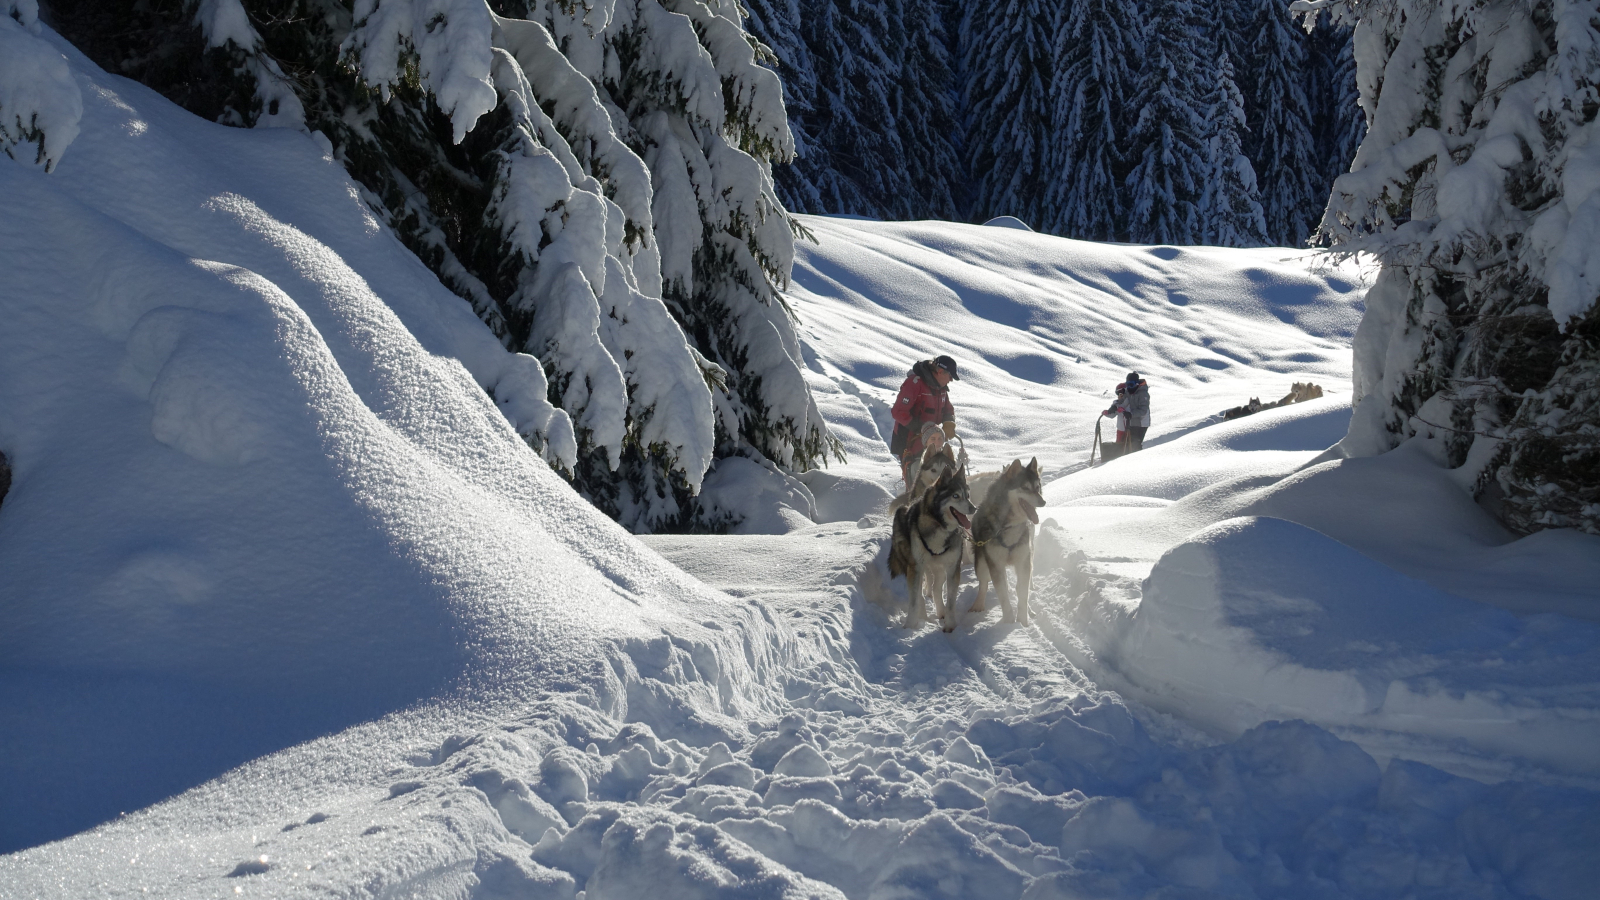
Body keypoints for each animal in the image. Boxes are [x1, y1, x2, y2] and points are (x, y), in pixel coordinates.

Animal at [889, 461, 972, 630]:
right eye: (955, 496)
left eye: (967, 495)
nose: (974, 508)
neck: (939, 525)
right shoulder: (916, 567)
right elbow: (914, 600)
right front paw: (910, 626)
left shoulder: (952, 568)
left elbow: (951, 601)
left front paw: (950, 625)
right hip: (914, 566)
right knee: (920, 593)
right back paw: (923, 616)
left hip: (938, 568)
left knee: (935, 588)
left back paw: (940, 611)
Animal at [966, 458, 1043, 621]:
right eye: (1025, 487)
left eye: (1037, 487)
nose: (1043, 502)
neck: (1008, 526)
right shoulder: (995, 564)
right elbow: (1003, 596)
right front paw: (1008, 621)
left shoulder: (1023, 562)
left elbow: (1023, 593)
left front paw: (1023, 620)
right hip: (982, 563)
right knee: (983, 583)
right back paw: (978, 605)